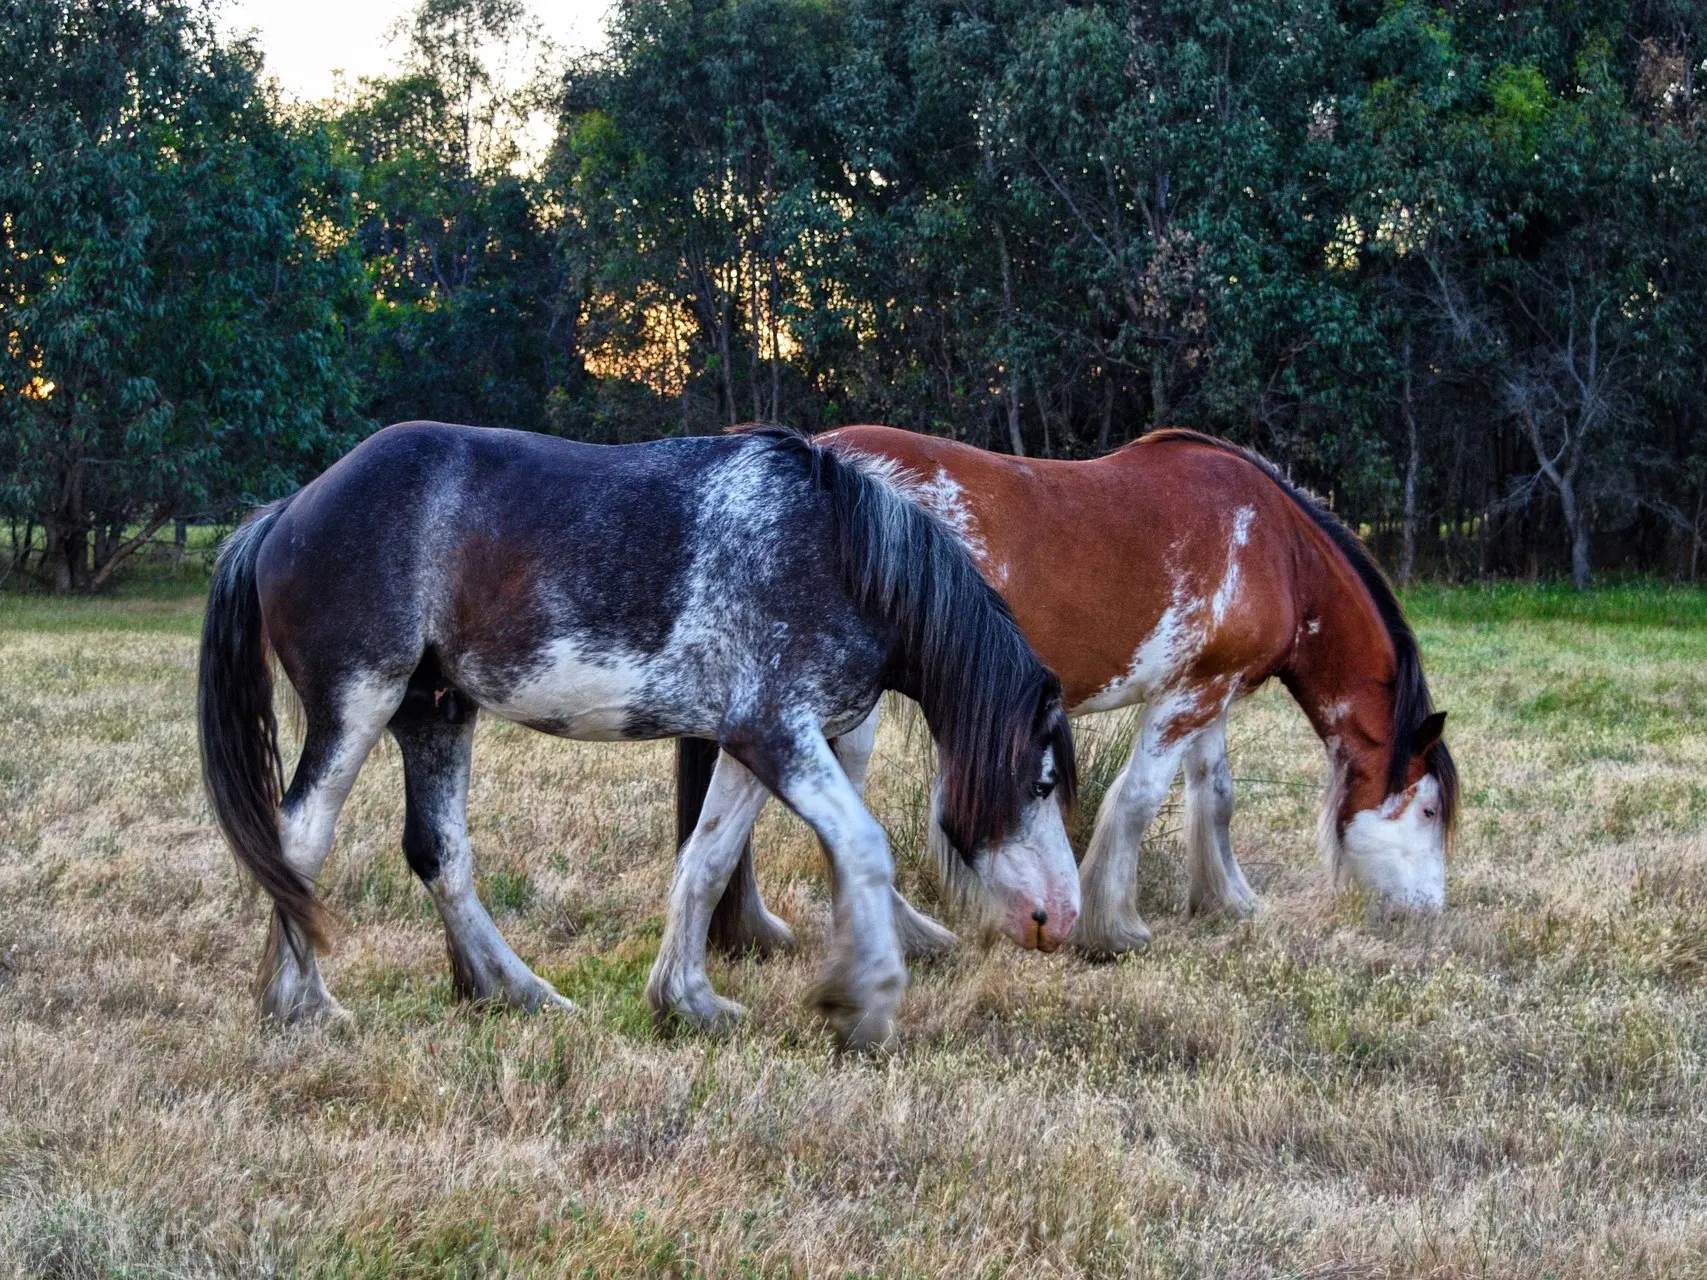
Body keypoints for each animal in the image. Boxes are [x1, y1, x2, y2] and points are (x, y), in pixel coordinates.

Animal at [196, 426, 1078, 1044]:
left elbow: (706, 861)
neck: (836, 556)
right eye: (1039, 782)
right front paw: (860, 1002)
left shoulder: (754, 744)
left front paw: (687, 1002)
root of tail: (288, 510)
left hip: (434, 711)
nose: (1059, 922)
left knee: (438, 853)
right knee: (299, 841)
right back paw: (302, 1007)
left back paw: (517, 993)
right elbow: (862, 846)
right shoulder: (776, 735)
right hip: (358, 702)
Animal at [679, 426, 1454, 955]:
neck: (1276, 549)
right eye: (1426, 810)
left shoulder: (1209, 690)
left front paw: (1228, 900)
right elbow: (1137, 800)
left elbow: (1216, 796)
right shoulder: (1185, 699)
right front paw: (1114, 927)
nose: (1427, 910)